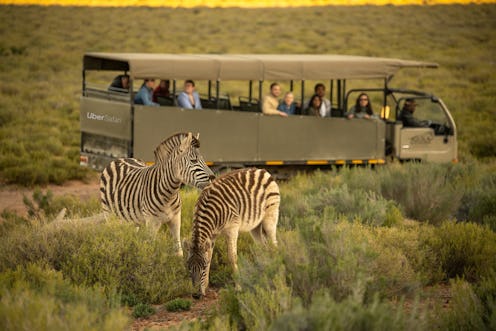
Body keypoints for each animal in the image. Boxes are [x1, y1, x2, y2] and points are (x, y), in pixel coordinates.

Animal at [186, 167, 280, 300]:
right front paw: (205, 287)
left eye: (203, 267)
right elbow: (209, 256)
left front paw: (238, 287)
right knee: (263, 247)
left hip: (270, 215)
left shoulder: (232, 228)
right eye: (188, 266)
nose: (195, 295)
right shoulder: (212, 235)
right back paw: (265, 271)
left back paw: (276, 268)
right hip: (255, 226)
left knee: (274, 245)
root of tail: (262, 170)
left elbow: (232, 257)